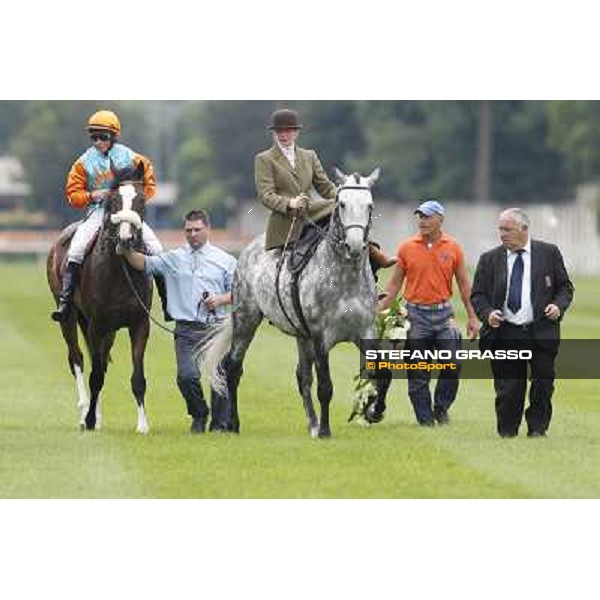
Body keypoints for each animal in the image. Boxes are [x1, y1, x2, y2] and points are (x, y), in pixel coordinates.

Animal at [47, 162, 154, 434]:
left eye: (141, 200)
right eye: (113, 201)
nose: (126, 239)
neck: (121, 271)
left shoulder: (139, 324)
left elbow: (137, 377)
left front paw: (142, 424)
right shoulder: (96, 325)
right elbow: (95, 376)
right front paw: (89, 419)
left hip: (110, 330)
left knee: (102, 361)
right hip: (70, 317)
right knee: (77, 358)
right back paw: (85, 410)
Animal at [200, 168, 380, 436]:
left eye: (369, 205)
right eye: (342, 204)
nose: (355, 247)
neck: (346, 277)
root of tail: (247, 251)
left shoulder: (366, 332)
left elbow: (375, 375)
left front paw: (372, 412)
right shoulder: (321, 338)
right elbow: (325, 386)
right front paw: (326, 431)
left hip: (300, 335)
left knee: (302, 377)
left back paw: (313, 424)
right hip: (246, 321)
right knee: (233, 368)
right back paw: (234, 424)